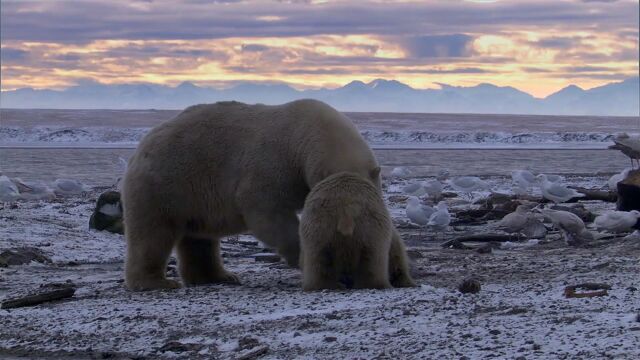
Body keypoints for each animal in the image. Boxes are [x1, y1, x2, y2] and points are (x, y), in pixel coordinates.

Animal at [122, 100, 416, 292]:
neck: (305, 130)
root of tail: (142, 146)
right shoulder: (272, 162)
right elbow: (265, 211)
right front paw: (302, 258)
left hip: (191, 191)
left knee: (199, 236)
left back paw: (219, 277)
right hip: (165, 182)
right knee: (152, 233)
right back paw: (156, 282)